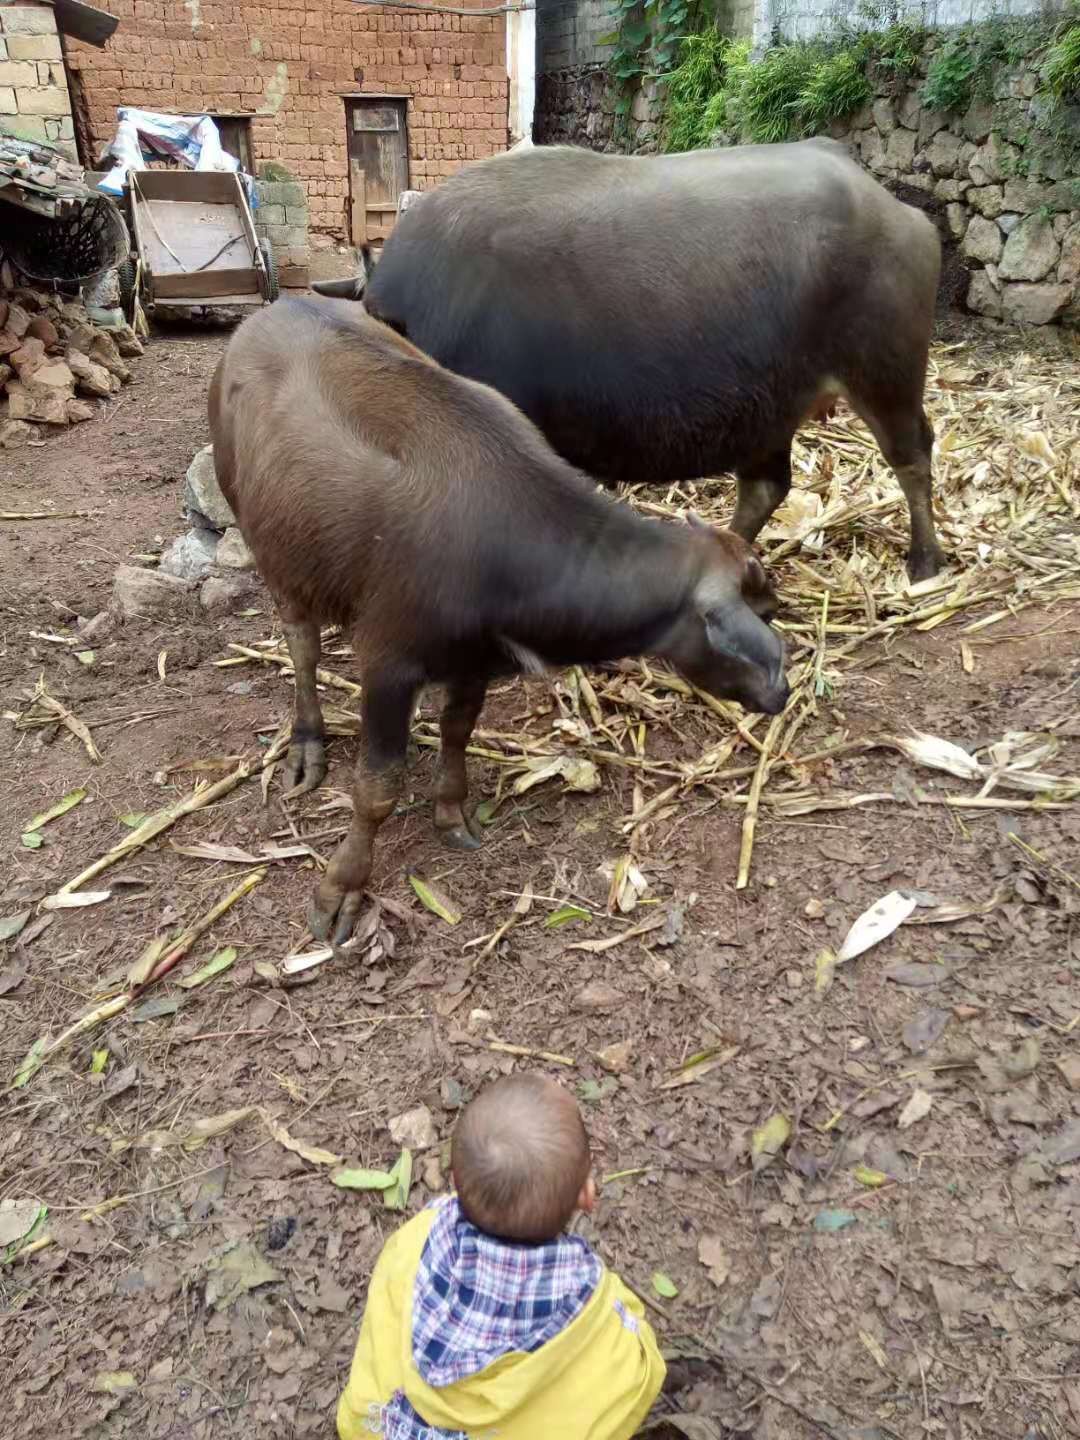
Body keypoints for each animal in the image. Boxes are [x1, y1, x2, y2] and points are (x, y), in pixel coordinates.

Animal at [315, 138, 944, 578]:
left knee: (912, 454)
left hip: (886, 375)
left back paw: (926, 559)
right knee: (767, 486)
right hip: (769, 405)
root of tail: (894, 209)